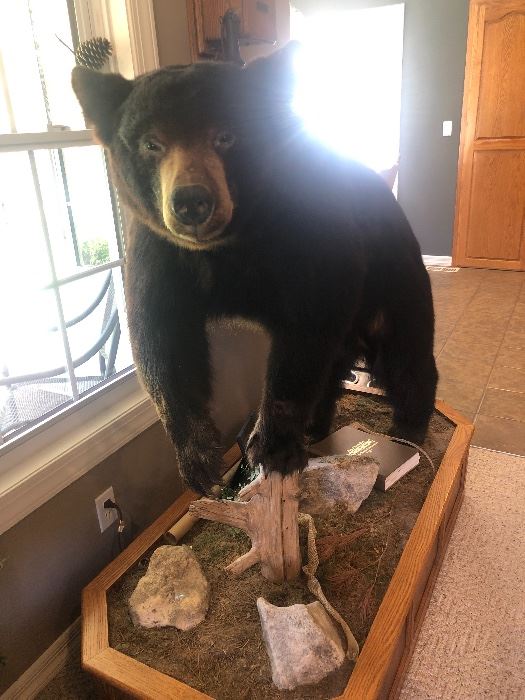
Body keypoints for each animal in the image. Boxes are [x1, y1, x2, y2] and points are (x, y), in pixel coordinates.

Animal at [72, 43, 438, 495]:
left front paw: (273, 445)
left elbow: (304, 336)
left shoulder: (310, 243)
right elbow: (163, 344)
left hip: (391, 283)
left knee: (404, 353)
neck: (230, 246)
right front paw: (200, 462)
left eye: (226, 135)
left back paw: (408, 427)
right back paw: (317, 425)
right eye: (151, 143)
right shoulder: (162, 257)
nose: (191, 201)